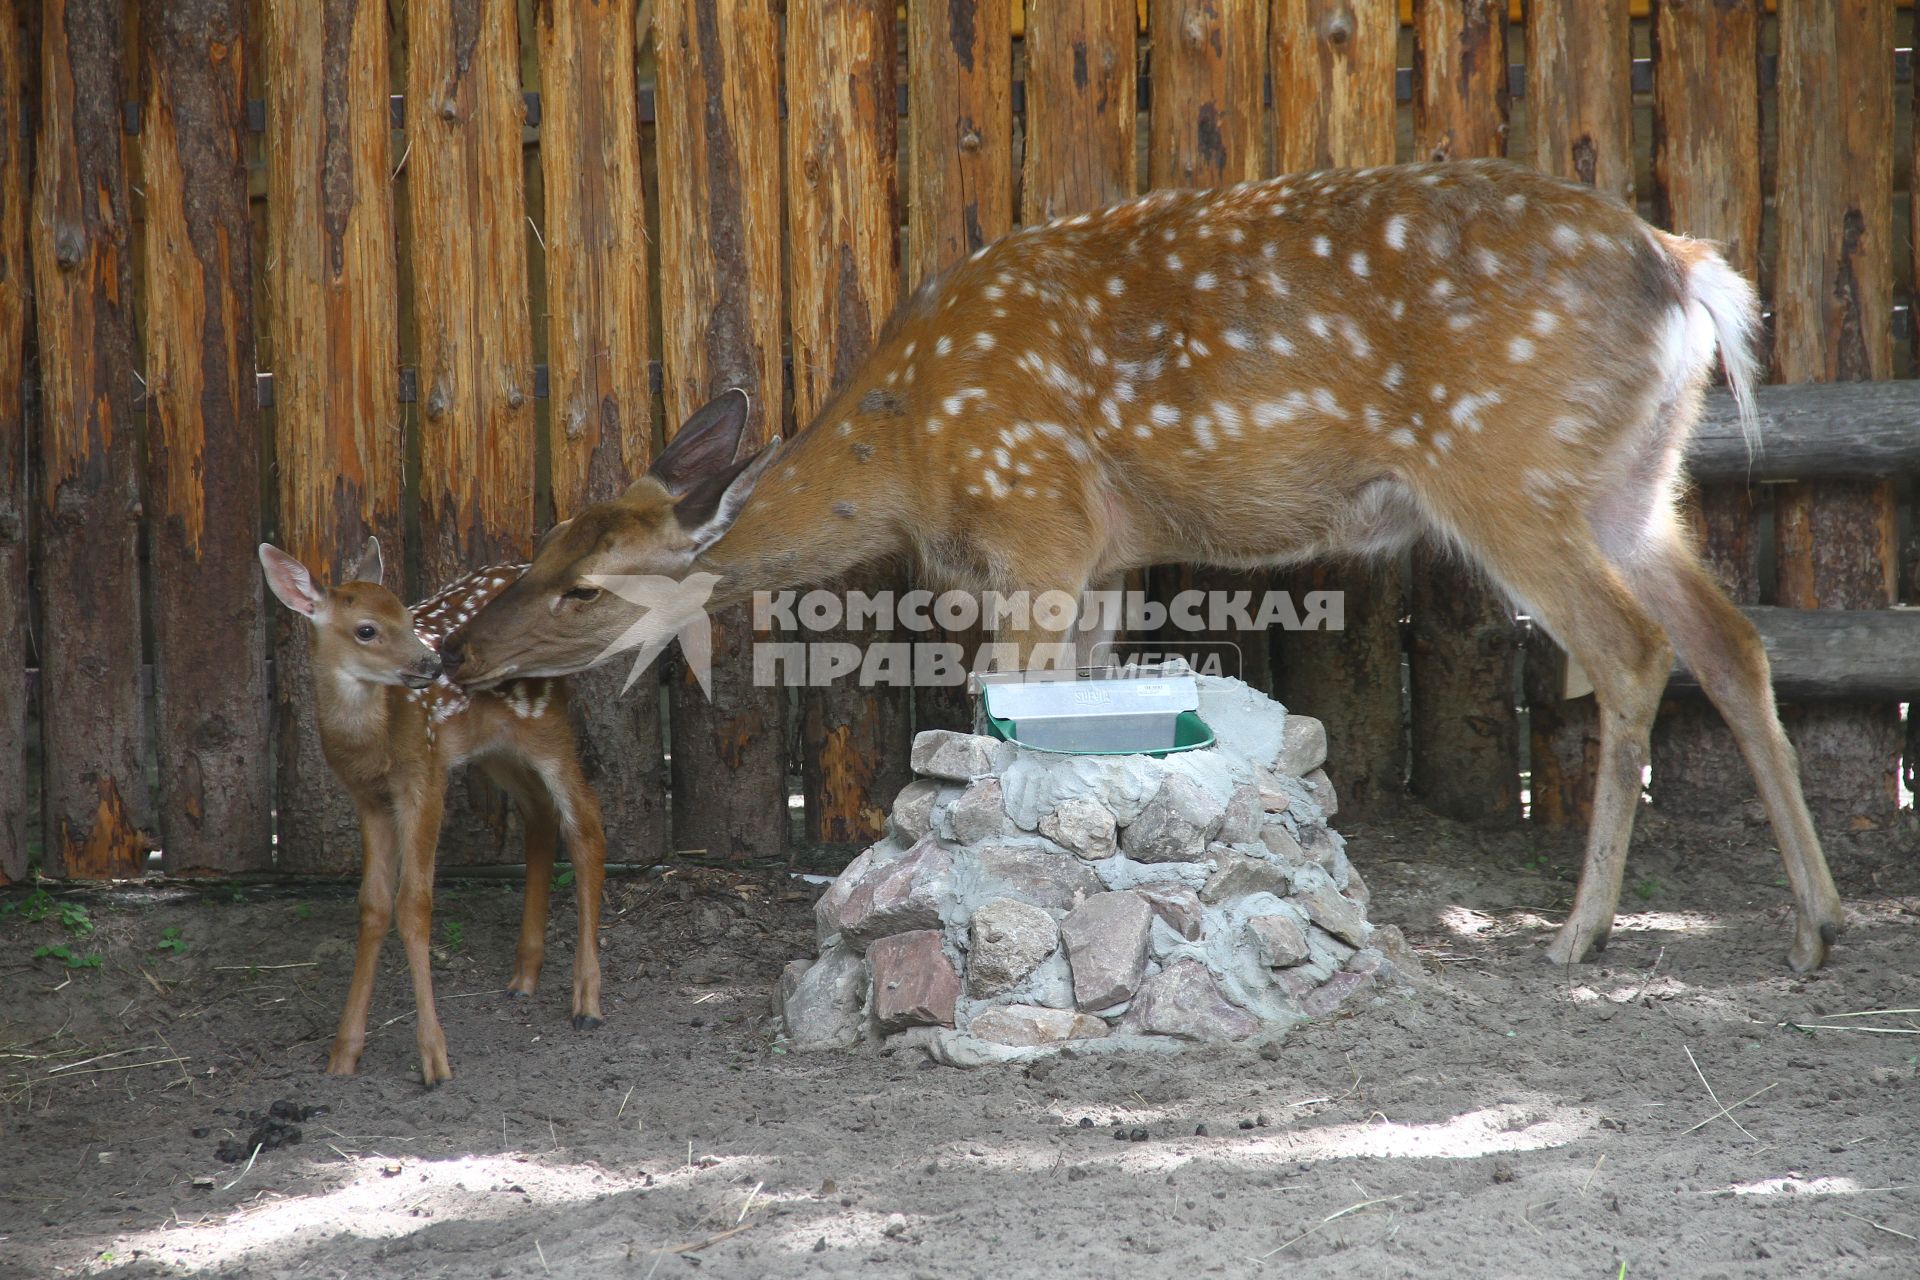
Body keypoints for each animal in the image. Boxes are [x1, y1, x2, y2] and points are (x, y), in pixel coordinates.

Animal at [263, 537, 602, 1090]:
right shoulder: (368, 798)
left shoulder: (425, 775)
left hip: (545, 722)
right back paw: (523, 977)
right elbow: (373, 905)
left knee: (586, 824)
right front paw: (343, 1055)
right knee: (540, 817)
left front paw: (435, 1061)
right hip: (493, 748)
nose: (433, 663)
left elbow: (414, 903)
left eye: (406, 613)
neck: (369, 744)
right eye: (366, 629)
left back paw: (587, 1002)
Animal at [449, 163, 1843, 982]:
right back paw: (1819, 924)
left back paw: (1581, 930)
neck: (908, 453)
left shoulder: (1037, 521)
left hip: (1510, 464)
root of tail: (1690, 274)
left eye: (581, 585)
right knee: (1736, 642)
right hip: (1636, 480)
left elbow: (993, 723)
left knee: (1632, 650)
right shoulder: (1106, 555)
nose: (459, 647)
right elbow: (1069, 723)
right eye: (542, 543)